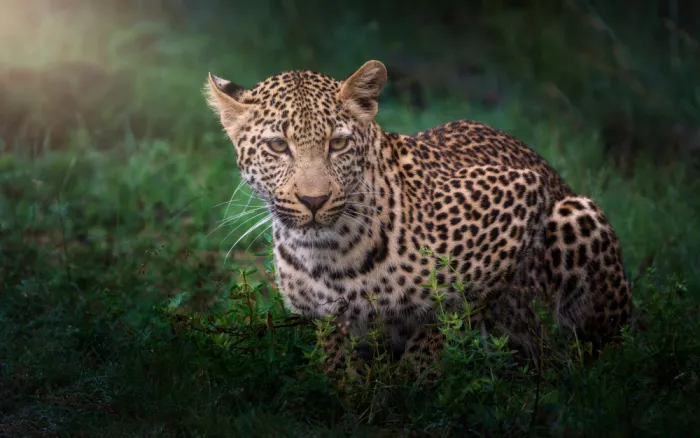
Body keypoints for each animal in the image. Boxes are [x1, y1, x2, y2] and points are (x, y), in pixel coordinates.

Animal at [204, 60, 631, 380]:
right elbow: (337, 359)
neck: (330, 252)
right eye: (278, 146)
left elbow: (453, 309)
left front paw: (415, 377)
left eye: (338, 143)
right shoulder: (325, 320)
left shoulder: (519, 193)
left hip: (577, 214)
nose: (314, 200)